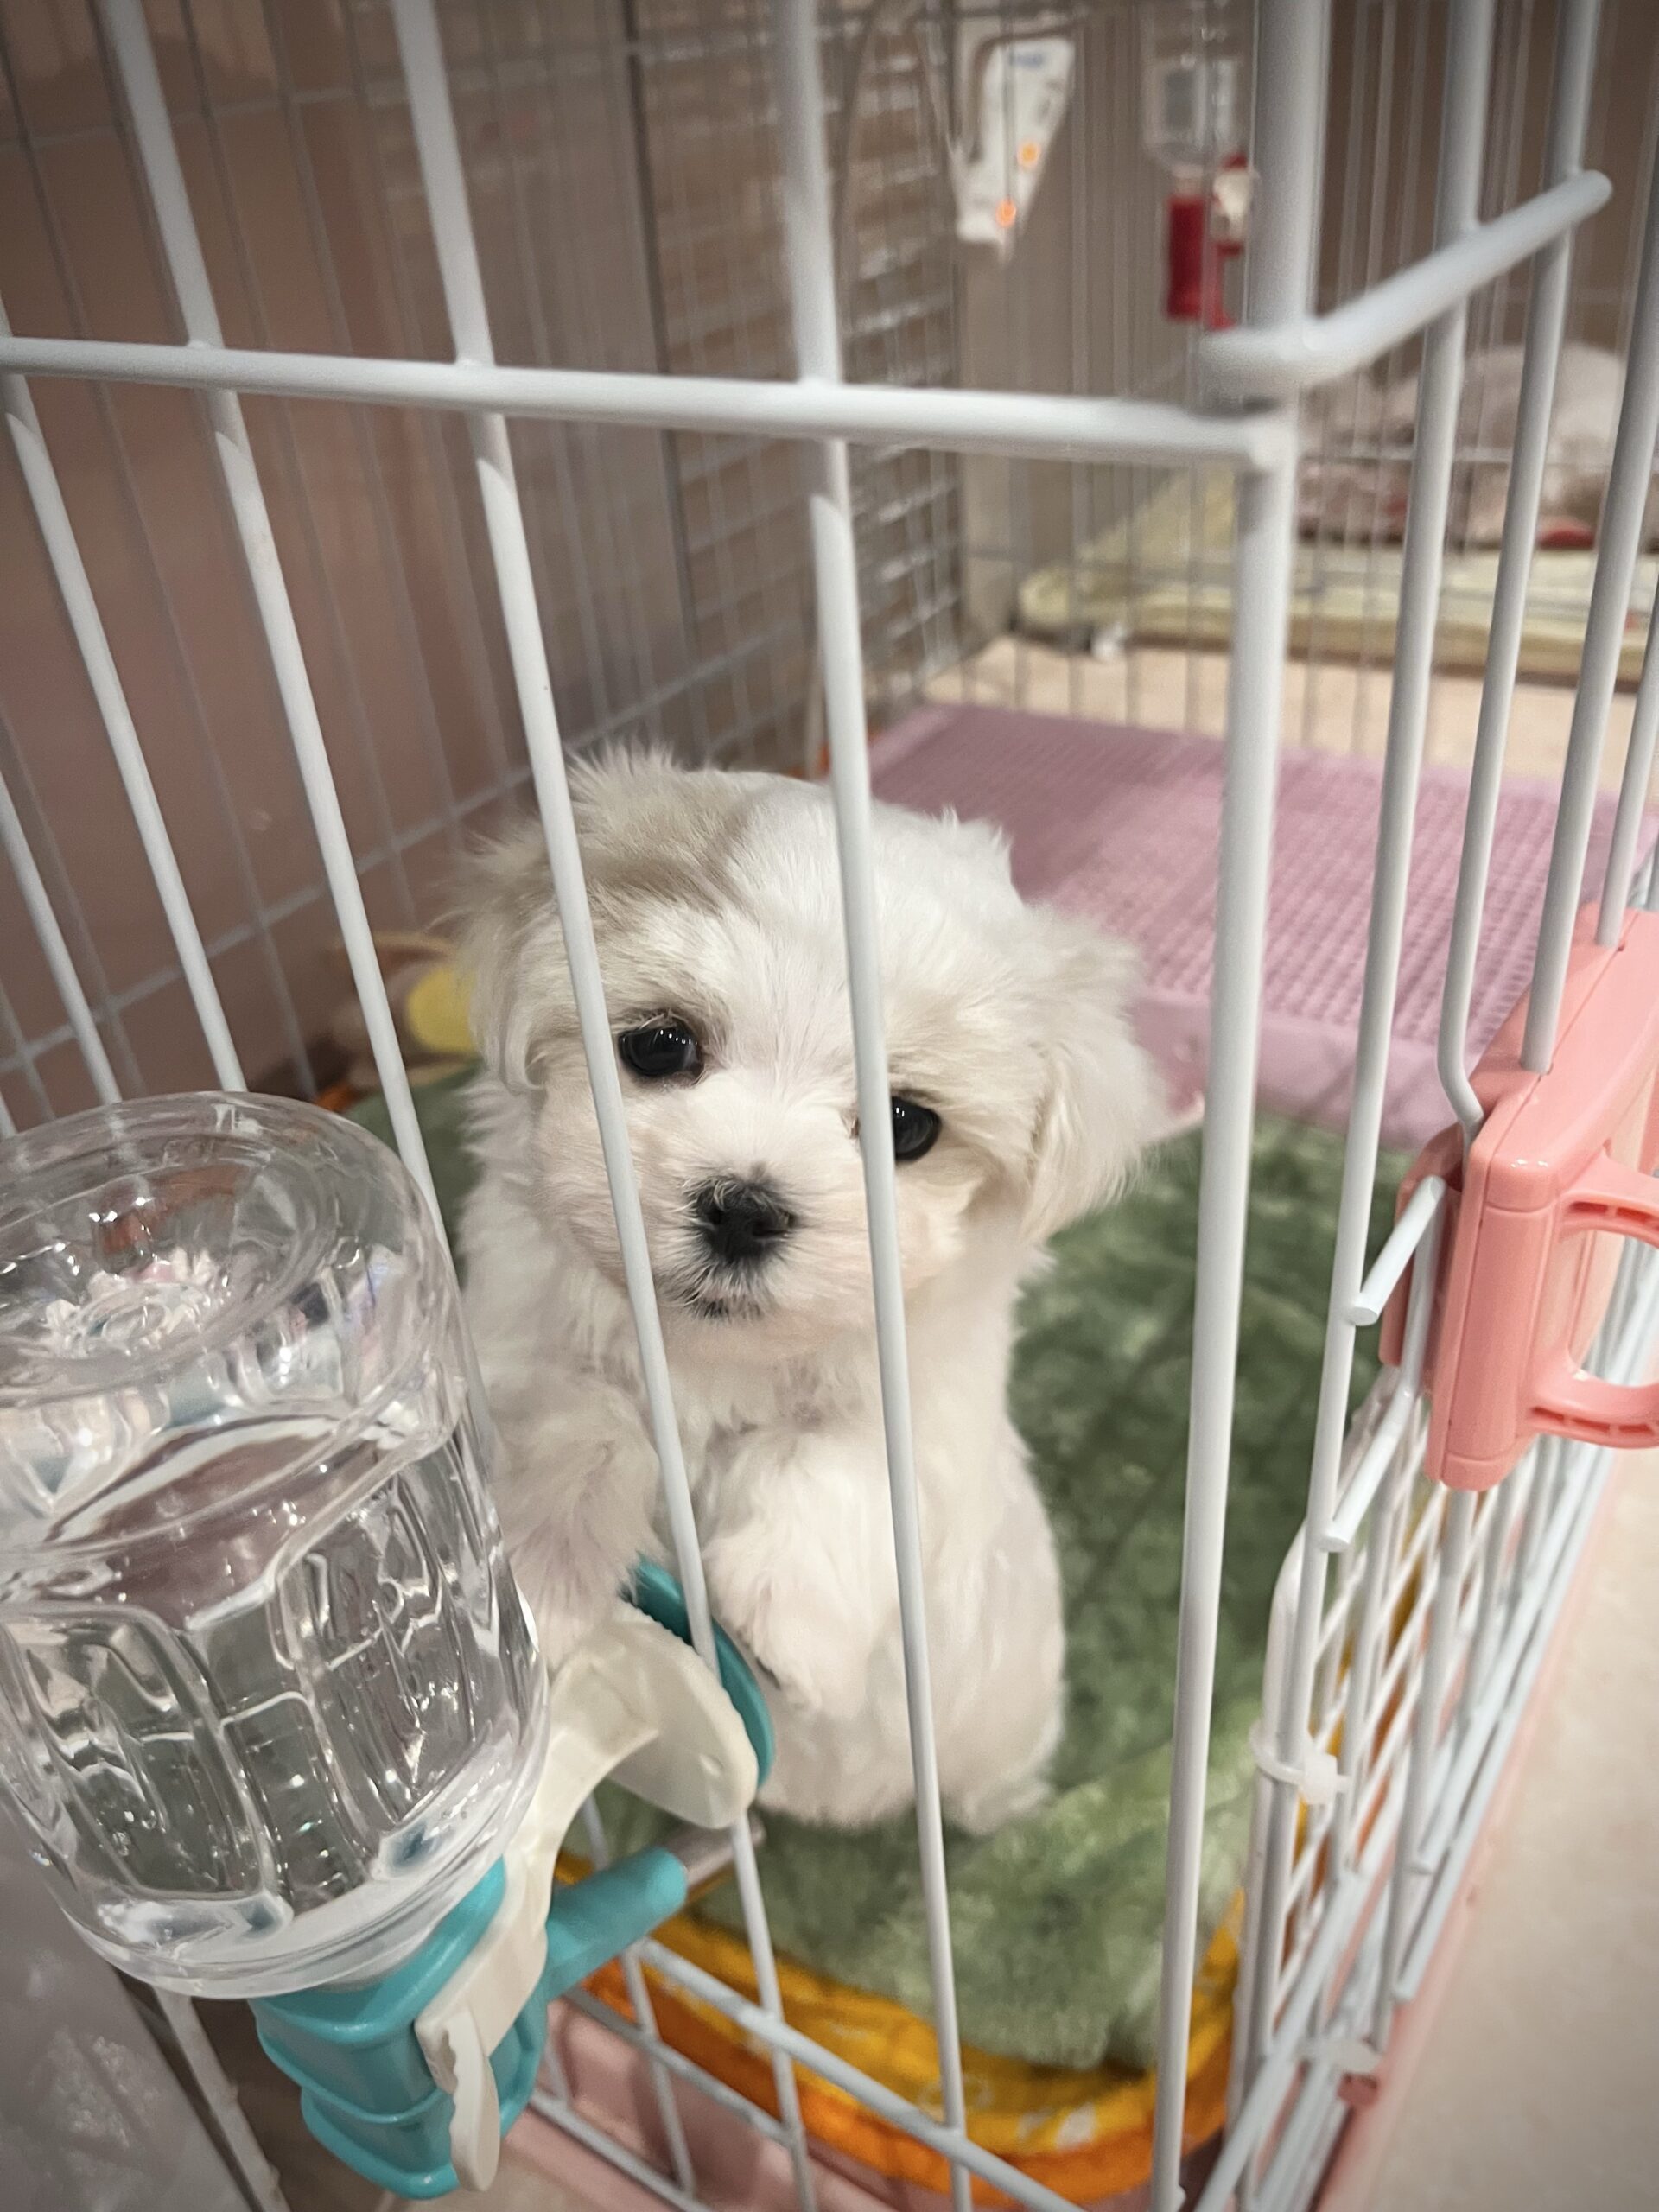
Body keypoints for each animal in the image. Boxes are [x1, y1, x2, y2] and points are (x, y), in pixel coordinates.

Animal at [456, 752, 1162, 1832]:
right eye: (659, 1046)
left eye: (909, 1124)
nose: (744, 1208)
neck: (713, 1352)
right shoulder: (515, 1331)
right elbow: (581, 1416)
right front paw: (548, 1578)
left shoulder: (936, 1392)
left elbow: (844, 1453)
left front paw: (786, 1626)